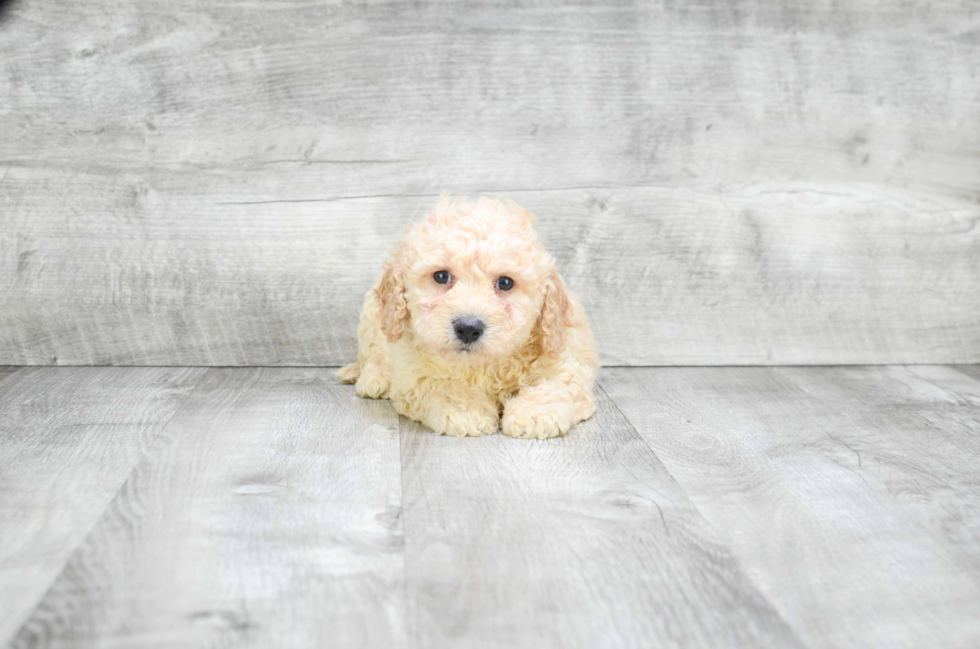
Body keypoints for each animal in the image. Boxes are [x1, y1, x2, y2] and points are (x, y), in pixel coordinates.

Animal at [336, 192, 596, 436]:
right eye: (441, 276)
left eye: (505, 283)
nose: (468, 329)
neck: (482, 366)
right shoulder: (412, 372)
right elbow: (439, 384)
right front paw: (466, 411)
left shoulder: (564, 357)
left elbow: (554, 383)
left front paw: (535, 414)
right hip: (372, 319)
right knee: (373, 355)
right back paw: (374, 379)